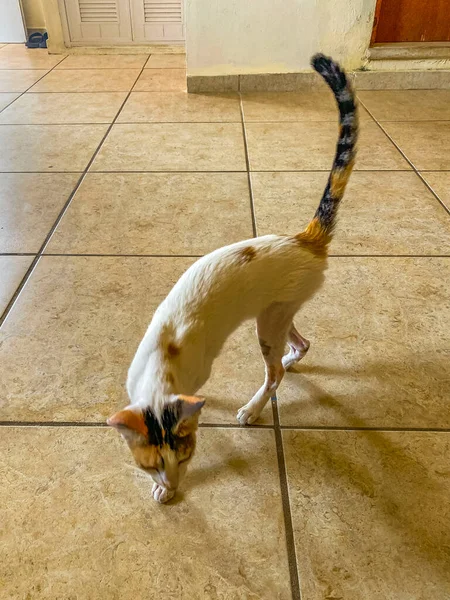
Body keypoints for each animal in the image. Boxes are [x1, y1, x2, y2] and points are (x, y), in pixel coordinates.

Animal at [106, 52, 358, 502]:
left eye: (186, 457)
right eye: (151, 465)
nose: (172, 485)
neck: (161, 376)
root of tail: (304, 238)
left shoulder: (198, 374)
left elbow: (199, 399)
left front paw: (167, 492)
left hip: (268, 322)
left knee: (274, 374)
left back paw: (254, 407)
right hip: (279, 311)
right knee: (302, 342)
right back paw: (293, 358)